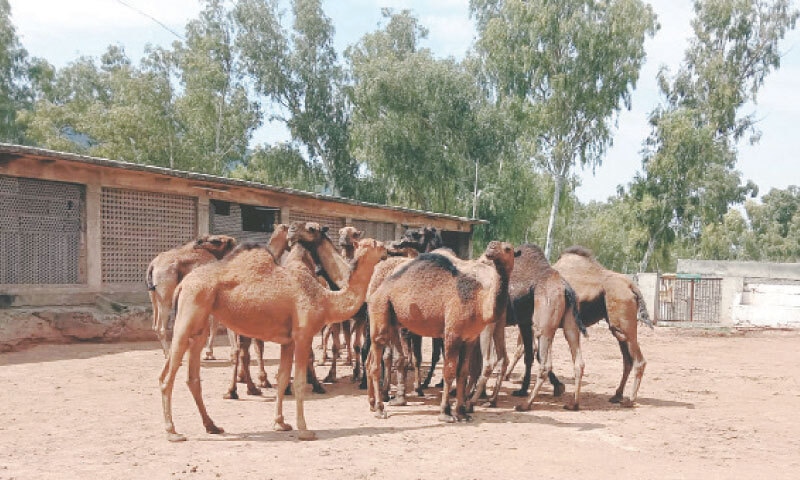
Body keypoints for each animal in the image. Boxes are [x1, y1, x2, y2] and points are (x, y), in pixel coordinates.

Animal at [159, 237, 388, 442]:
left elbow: (283, 378)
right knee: (167, 374)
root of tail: (182, 284)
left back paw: (212, 426)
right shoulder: (303, 335)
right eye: (376, 244)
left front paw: (280, 423)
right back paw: (172, 432)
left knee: (192, 376)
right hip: (190, 308)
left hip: (201, 322)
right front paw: (304, 430)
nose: (387, 249)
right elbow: (299, 381)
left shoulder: (288, 341)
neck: (325, 300)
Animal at [366, 241, 516, 422]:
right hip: (381, 309)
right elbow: (449, 372)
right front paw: (445, 412)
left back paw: (373, 404)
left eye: (508, 248)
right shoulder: (452, 334)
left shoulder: (470, 338)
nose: (491, 247)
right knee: (375, 362)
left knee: (371, 361)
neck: (479, 302)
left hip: (392, 321)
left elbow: (462, 373)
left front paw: (461, 412)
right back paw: (380, 409)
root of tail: (375, 292)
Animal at [506, 244, 586, 412]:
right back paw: (573, 404)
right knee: (578, 361)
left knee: (545, 364)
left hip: (543, 324)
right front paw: (522, 390)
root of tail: (565, 287)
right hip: (569, 323)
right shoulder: (524, 321)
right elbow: (529, 355)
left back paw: (526, 404)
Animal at [553, 246, 653, 407]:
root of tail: (631, 286)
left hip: (624, 325)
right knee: (627, 360)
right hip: (618, 329)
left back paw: (630, 400)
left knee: (638, 360)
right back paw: (617, 395)